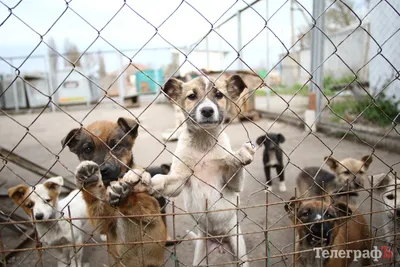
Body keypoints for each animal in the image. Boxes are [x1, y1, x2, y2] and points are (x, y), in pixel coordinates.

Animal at [61, 118, 165, 266]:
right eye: (87, 149)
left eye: (116, 146)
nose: (103, 170)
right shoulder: (104, 225)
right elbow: (96, 201)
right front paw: (90, 182)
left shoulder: (152, 210)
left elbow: (137, 199)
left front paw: (125, 191)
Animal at [145, 75, 255, 267]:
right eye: (192, 96)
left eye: (219, 94)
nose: (207, 111)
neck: (204, 141)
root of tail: (219, 241)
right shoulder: (178, 180)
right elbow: (163, 179)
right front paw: (149, 181)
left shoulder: (234, 185)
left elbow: (235, 165)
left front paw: (241, 155)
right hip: (200, 254)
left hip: (239, 249)